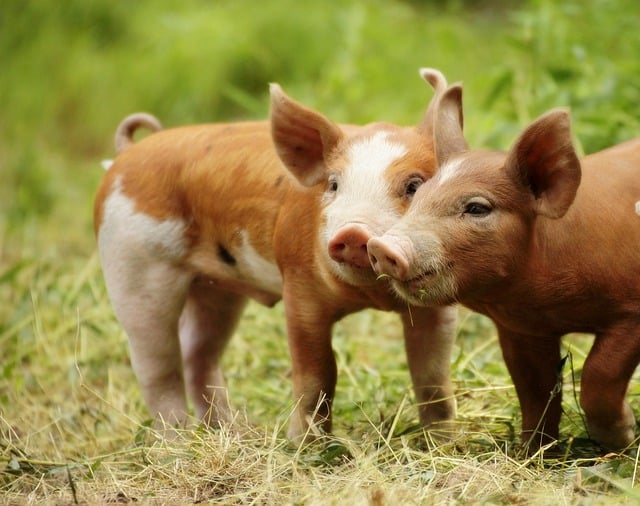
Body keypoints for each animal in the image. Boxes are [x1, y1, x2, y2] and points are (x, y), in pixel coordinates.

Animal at [94, 69, 459, 442]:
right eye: (333, 185)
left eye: (414, 186)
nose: (354, 233)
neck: (370, 297)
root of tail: (126, 155)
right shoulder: (299, 287)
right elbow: (317, 373)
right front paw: (307, 445)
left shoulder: (437, 303)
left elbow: (432, 374)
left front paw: (443, 441)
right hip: (132, 265)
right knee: (155, 364)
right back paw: (178, 440)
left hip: (216, 289)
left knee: (198, 352)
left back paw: (230, 431)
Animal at [367, 82, 640, 451]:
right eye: (418, 196)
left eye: (477, 208)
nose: (381, 246)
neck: (553, 304)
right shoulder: (521, 328)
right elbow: (535, 392)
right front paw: (532, 452)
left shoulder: (631, 312)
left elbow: (599, 373)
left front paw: (622, 439)